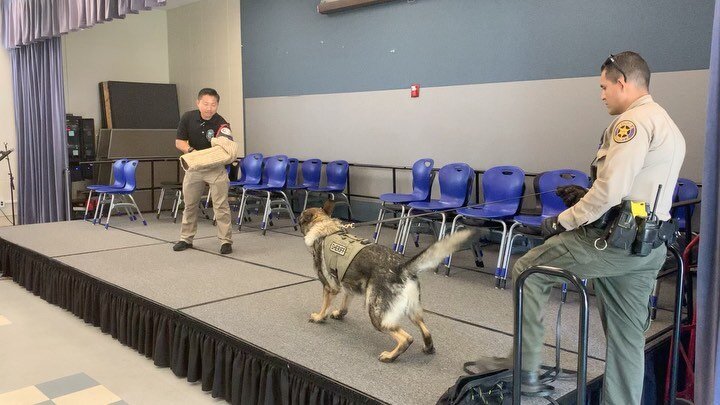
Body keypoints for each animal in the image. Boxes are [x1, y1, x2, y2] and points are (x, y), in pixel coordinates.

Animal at [298, 200, 472, 362]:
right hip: (412, 310)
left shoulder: (329, 287)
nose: (296, 222)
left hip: (376, 313)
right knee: (425, 329)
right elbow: (344, 305)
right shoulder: (348, 286)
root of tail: (402, 267)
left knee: (406, 338)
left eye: (300, 220)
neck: (327, 229)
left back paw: (390, 356)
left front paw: (319, 317)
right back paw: (428, 347)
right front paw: (339, 314)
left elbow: (324, 306)